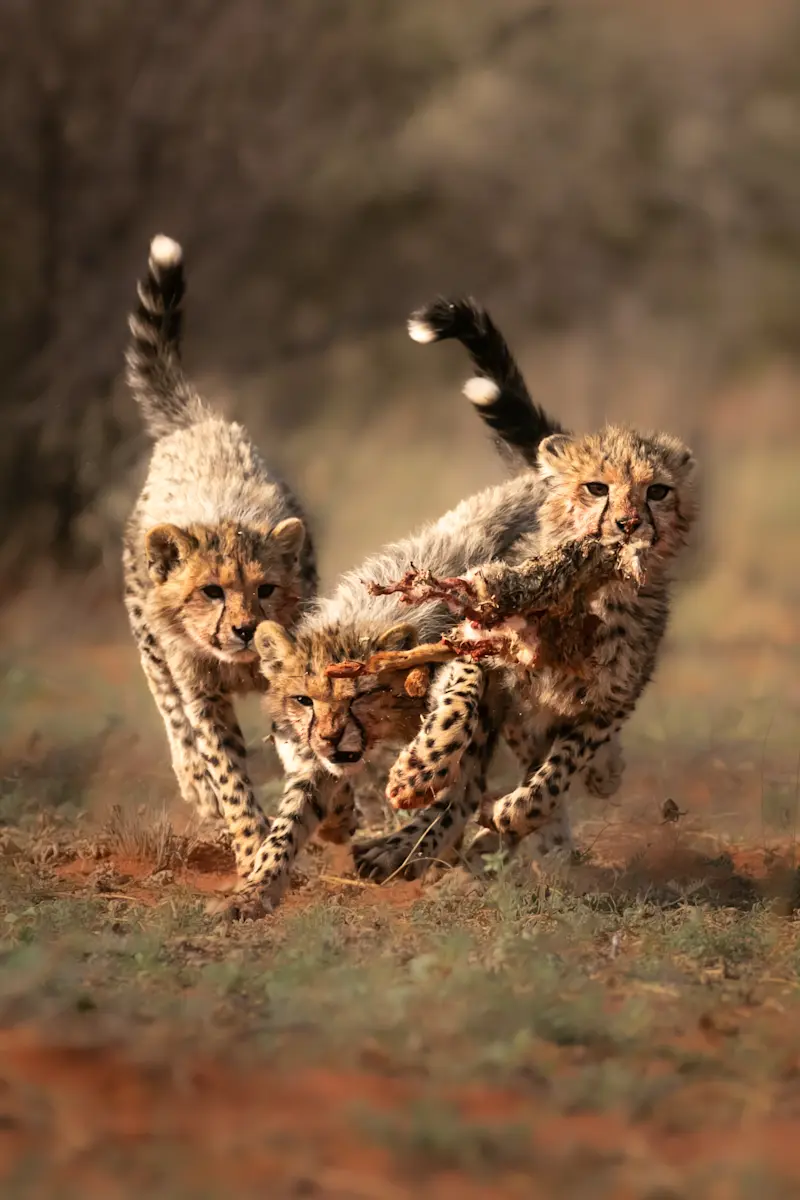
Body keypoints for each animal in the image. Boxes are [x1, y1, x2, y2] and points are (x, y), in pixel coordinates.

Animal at [122, 234, 317, 883]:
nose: (244, 629)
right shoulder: (201, 690)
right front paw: (252, 846)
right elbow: (228, 774)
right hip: (150, 642)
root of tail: (199, 425)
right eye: (210, 591)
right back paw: (195, 785)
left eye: (265, 590)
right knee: (170, 714)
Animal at [359, 296, 698, 880]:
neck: (589, 595)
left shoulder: (608, 702)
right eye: (596, 487)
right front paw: (417, 771)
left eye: (657, 491)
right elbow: (458, 704)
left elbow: (555, 775)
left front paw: (517, 815)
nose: (629, 525)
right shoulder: (482, 643)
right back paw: (410, 842)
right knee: (467, 784)